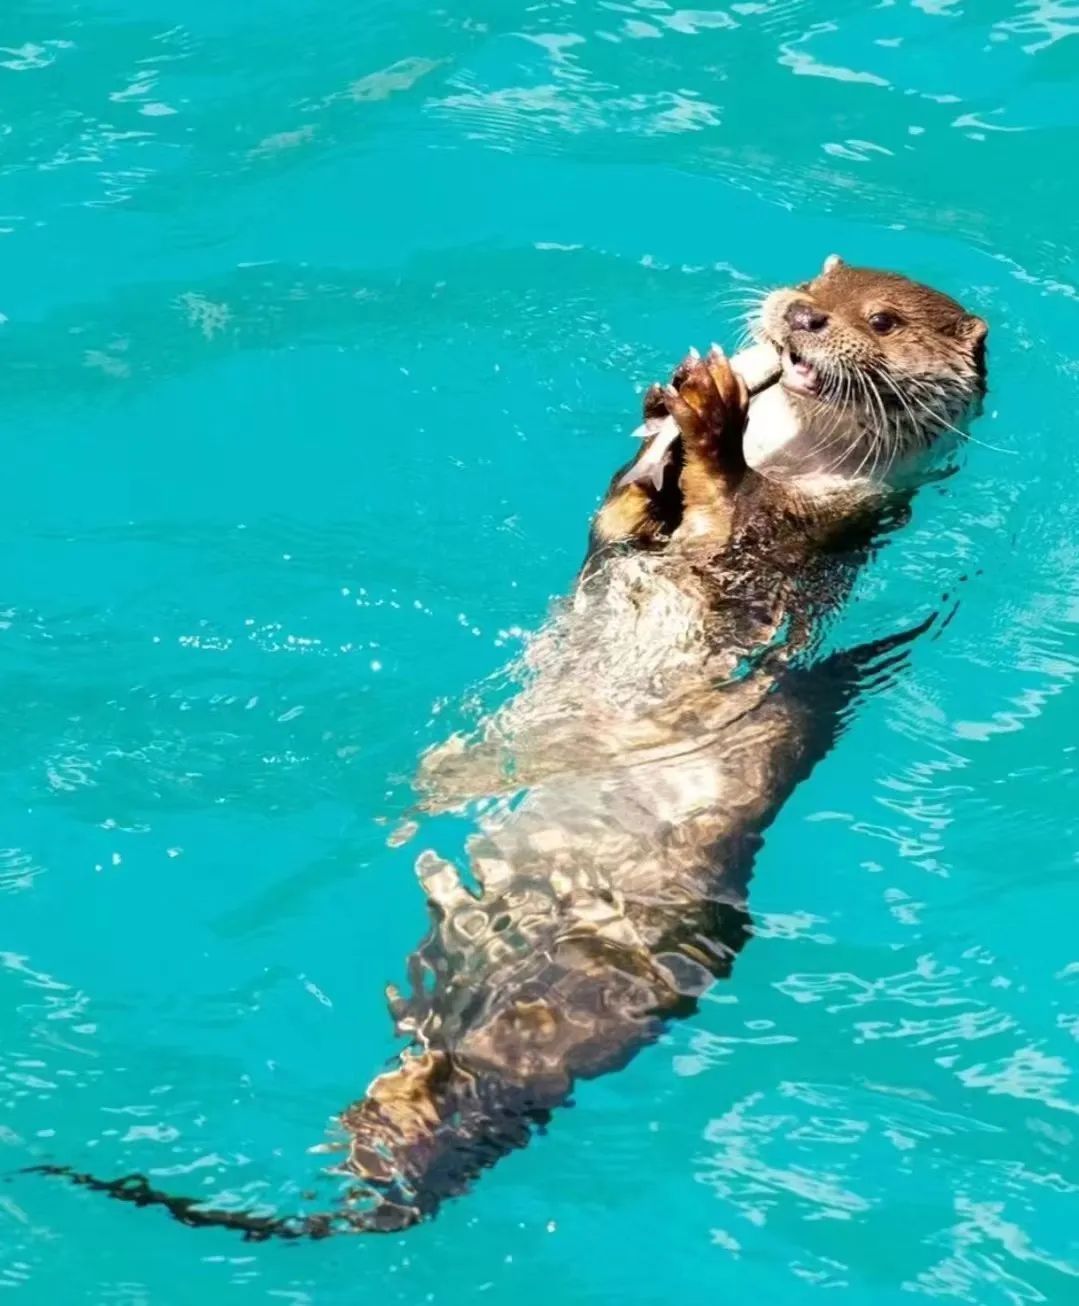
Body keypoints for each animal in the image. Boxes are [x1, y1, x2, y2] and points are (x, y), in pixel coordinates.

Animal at [23, 254, 982, 1232]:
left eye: (881, 319)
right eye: (816, 285)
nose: (800, 318)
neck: (799, 466)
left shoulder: (793, 543)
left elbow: (722, 519)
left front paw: (712, 422)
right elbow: (617, 524)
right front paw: (658, 422)